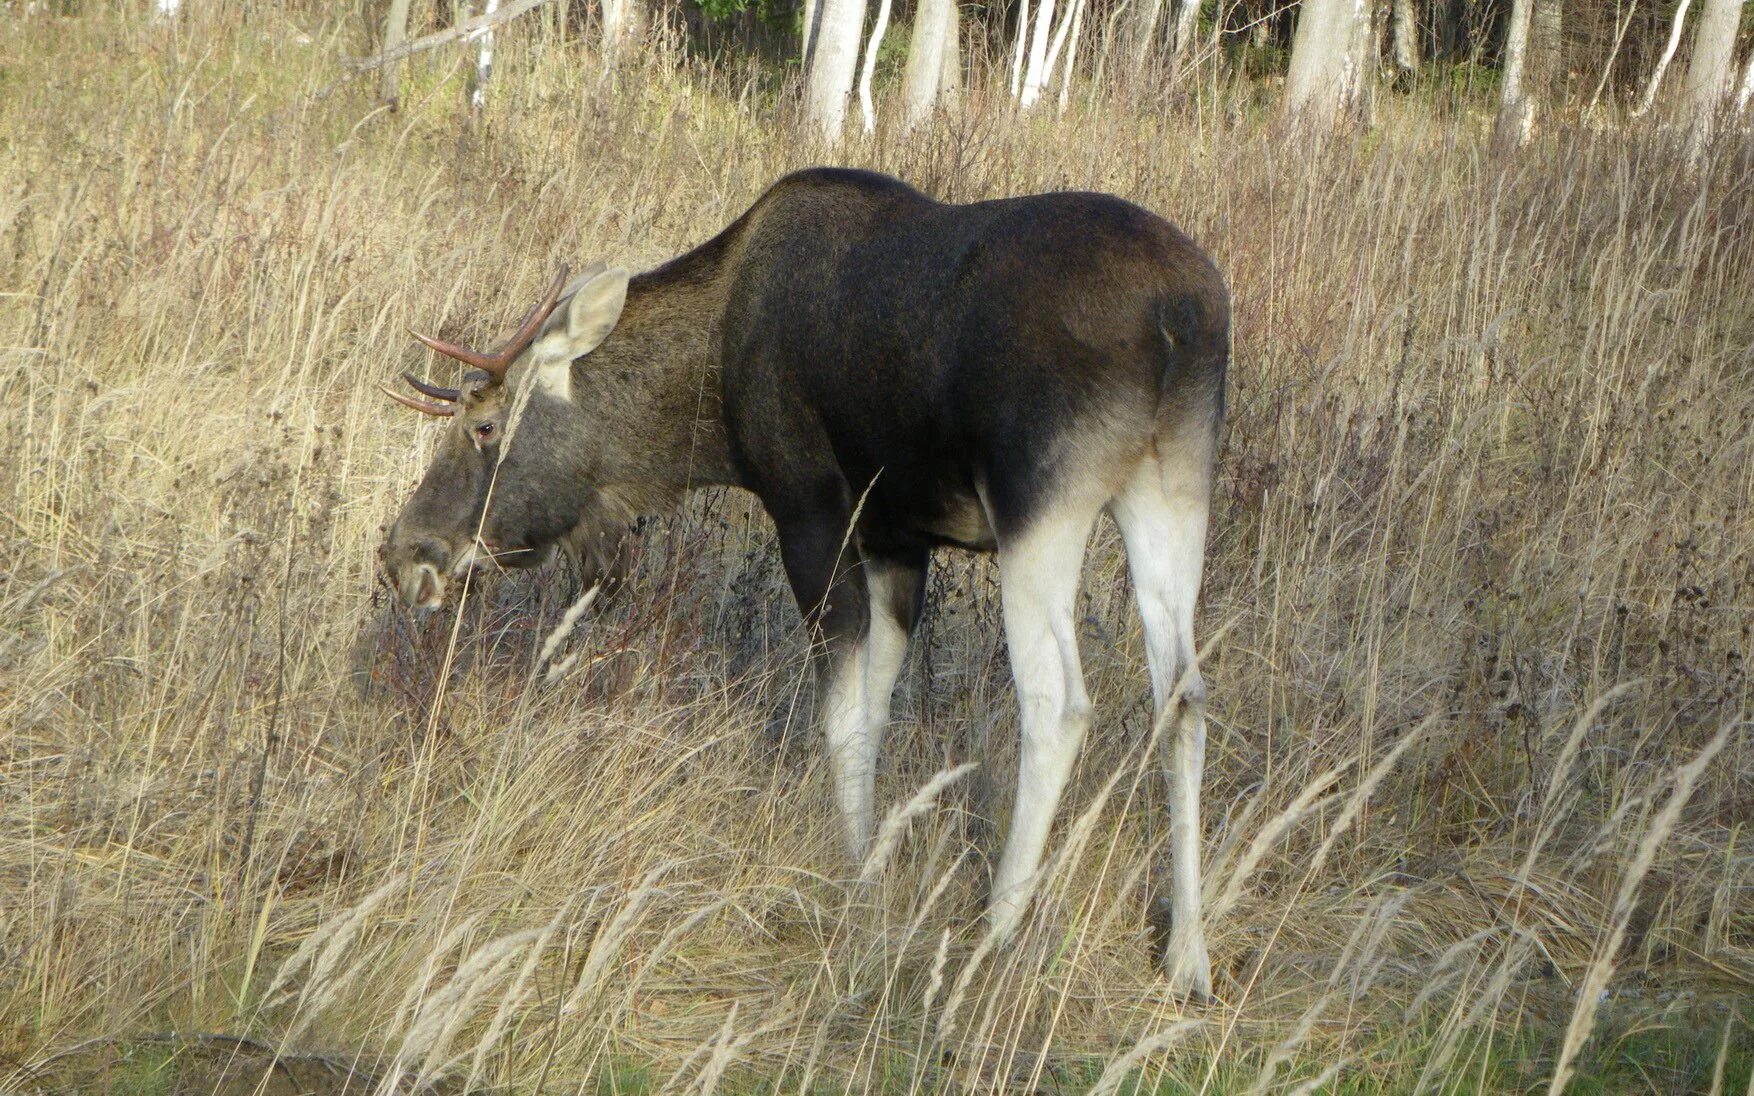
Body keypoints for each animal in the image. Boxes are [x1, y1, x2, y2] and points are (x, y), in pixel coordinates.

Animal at [380, 166, 1234, 996]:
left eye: (484, 425)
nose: (404, 552)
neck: (711, 398)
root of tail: (1178, 318)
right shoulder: (897, 543)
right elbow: (876, 709)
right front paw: (873, 856)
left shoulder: (811, 511)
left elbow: (841, 715)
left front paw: (856, 881)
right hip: (1172, 485)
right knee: (1185, 693)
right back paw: (1187, 954)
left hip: (1043, 502)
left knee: (1059, 704)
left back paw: (995, 931)